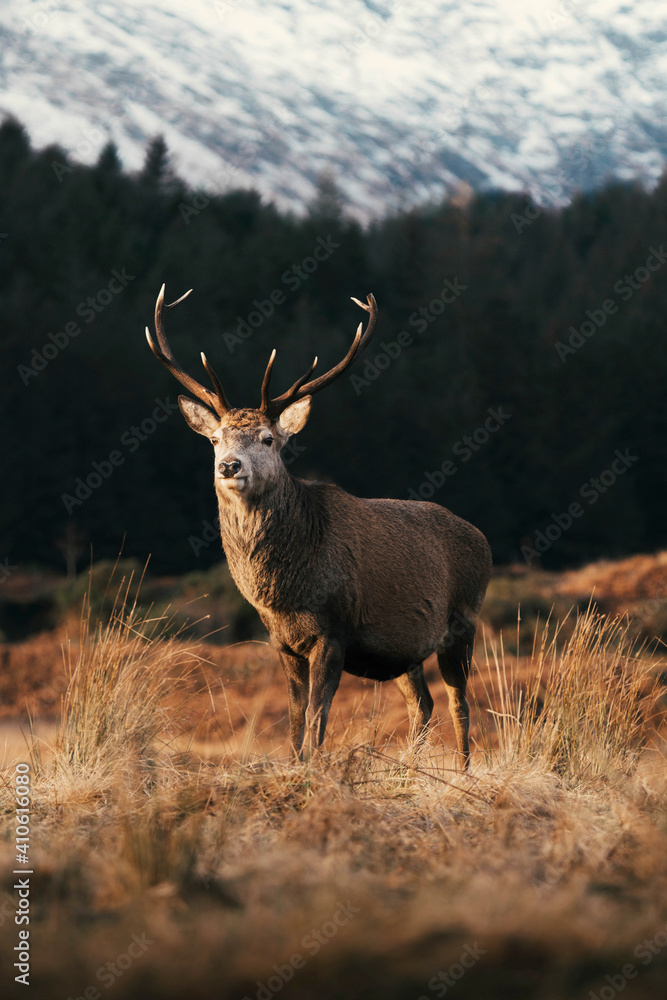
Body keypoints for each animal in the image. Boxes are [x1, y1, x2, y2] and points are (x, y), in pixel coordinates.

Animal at [145, 286, 490, 768]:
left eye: (268, 439)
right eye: (214, 438)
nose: (229, 465)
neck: (285, 592)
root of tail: (483, 538)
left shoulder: (334, 630)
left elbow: (316, 716)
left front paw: (314, 768)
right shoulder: (282, 641)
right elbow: (293, 717)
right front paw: (295, 766)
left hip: (463, 621)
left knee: (460, 701)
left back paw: (462, 770)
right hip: (404, 649)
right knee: (423, 702)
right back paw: (410, 768)